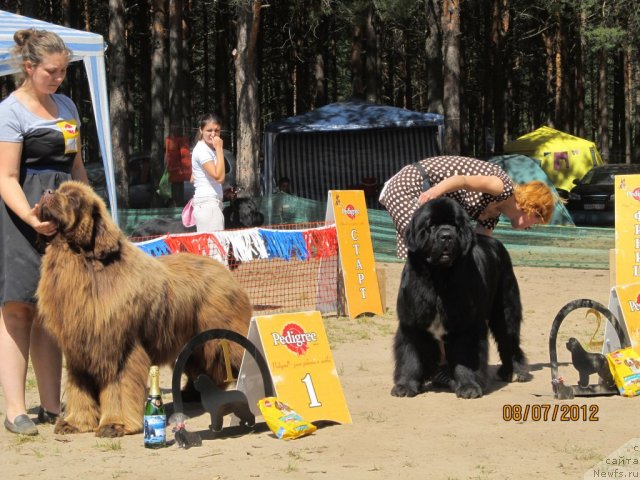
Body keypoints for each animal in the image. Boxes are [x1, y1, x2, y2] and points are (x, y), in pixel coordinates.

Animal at [34, 179, 250, 436]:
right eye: (58, 190)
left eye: (74, 199)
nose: (47, 191)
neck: (84, 262)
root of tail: (224, 271)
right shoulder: (78, 349)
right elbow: (78, 387)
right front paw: (74, 422)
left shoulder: (119, 349)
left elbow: (118, 388)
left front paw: (114, 424)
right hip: (192, 341)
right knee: (202, 366)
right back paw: (191, 393)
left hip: (225, 335)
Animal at [390, 197, 528, 400]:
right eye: (431, 226)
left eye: (455, 226)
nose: (446, 235)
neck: (438, 279)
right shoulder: (412, 323)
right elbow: (411, 356)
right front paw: (405, 386)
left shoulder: (466, 325)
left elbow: (465, 358)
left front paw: (468, 387)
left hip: (506, 309)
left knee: (508, 338)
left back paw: (514, 371)